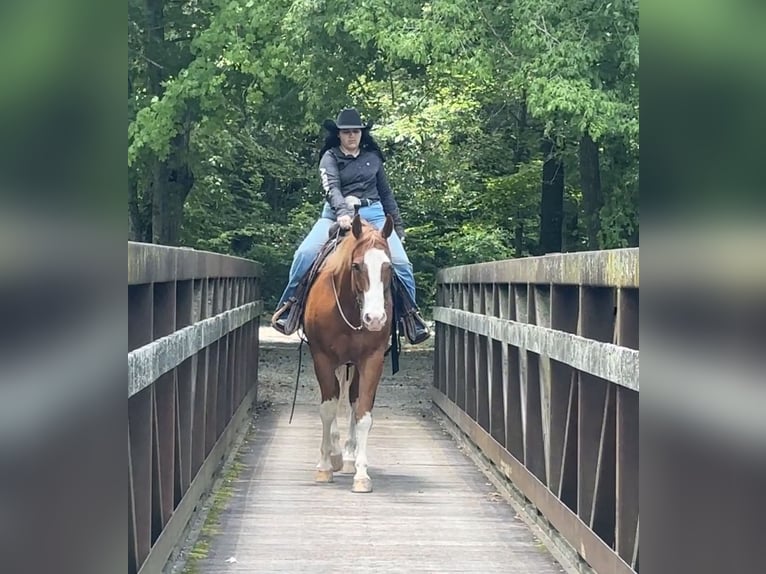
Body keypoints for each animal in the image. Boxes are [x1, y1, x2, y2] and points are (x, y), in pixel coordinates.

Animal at [302, 213, 395, 493]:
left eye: (389, 267)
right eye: (356, 266)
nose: (374, 319)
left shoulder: (372, 359)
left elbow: (363, 412)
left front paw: (362, 474)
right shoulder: (322, 358)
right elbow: (327, 409)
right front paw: (324, 465)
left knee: (352, 399)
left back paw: (350, 455)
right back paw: (334, 454)